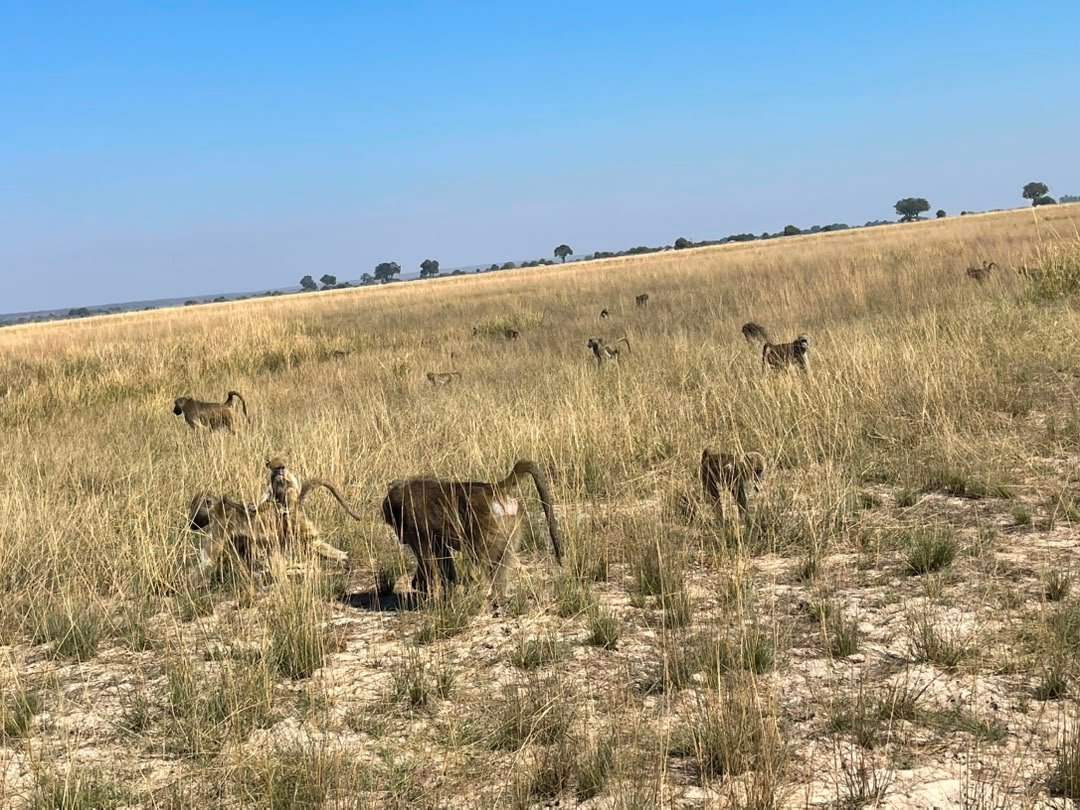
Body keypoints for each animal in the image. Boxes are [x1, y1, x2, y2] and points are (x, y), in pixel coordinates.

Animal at [381, 459, 563, 601]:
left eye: (395, 524)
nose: (400, 538)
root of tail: (494, 489)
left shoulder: (415, 527)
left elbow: (426, 561)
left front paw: (423, 588)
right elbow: (443, 558)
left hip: (485, 527)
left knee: (478, 562)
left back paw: (473, 596)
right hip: (510, 525)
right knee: (501, 561)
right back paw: (498, 597)